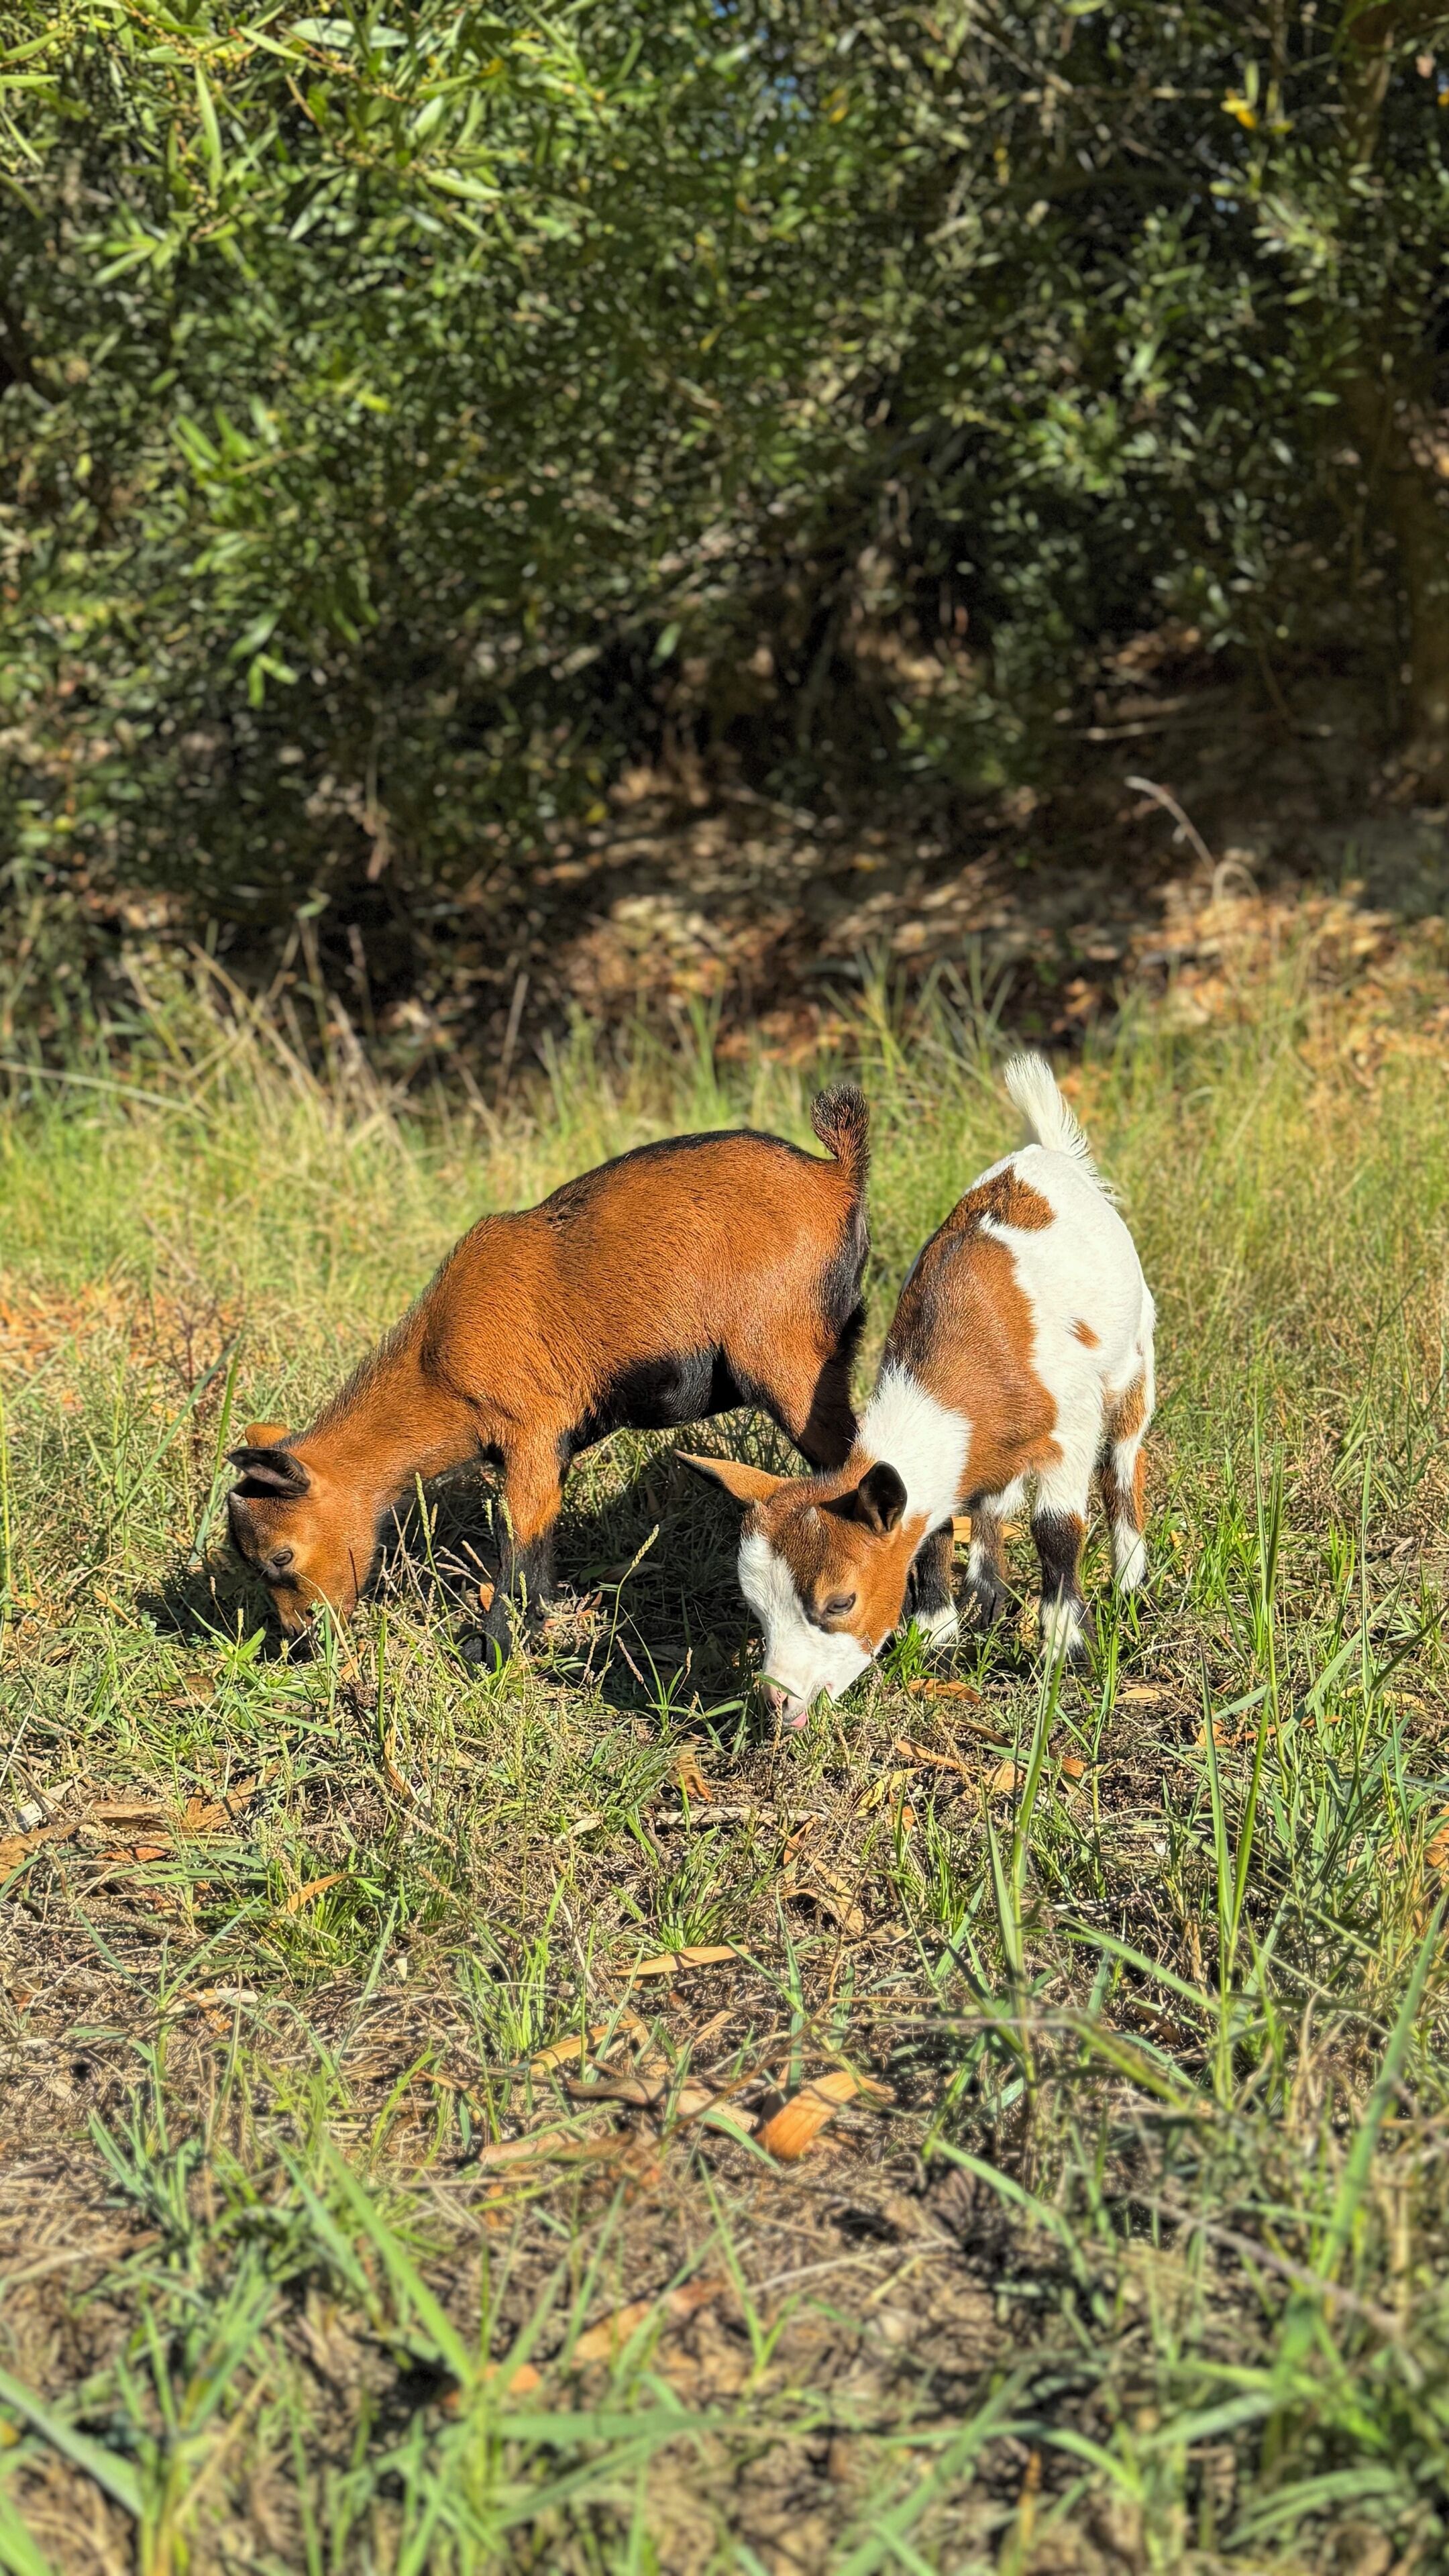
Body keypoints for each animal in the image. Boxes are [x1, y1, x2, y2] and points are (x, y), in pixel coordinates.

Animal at [226, 1088, 870, 1642]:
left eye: (281, 1555)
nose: (300, 1632)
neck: (436, 1362)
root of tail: (834, 1177)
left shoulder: (531, 1434)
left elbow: (522, 1544)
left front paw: (493, 1649)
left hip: (791, 1365)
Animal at [683, 1054, 1154, 1724]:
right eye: (756, 1607)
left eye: (840, 1602)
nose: (780, 1702)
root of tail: (1046, 1152)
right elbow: (932, 1526)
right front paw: (937, 1638)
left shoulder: (1069, 1427)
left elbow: (1057, 1530)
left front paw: (1066, 1651)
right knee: (993, 1496)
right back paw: (986, 1597)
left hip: (1136, 1354)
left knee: (1122, 1462)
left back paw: (1130, 1582)